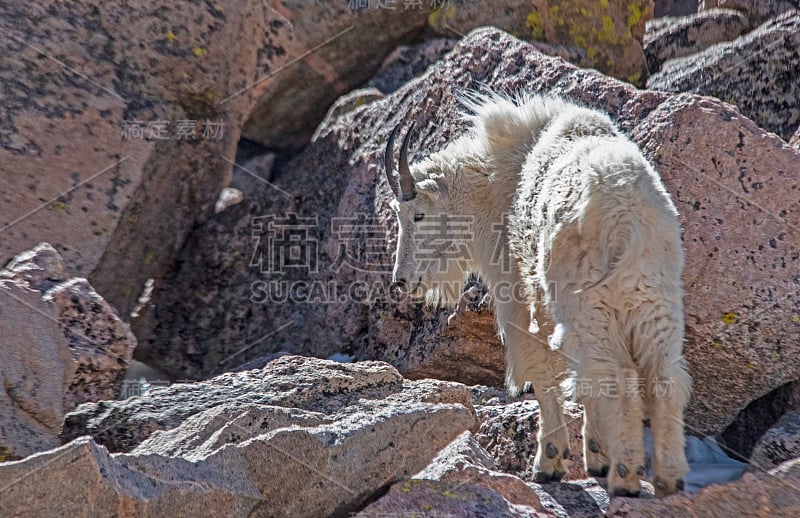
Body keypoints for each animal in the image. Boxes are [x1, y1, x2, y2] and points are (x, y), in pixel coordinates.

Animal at [384, 93, 692, 500]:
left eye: (418, 215)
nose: (401, 282)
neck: (501, 182)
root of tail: (626, 217)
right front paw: (596, 455)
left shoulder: (523, 297)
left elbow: (543, 374)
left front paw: (549, 463)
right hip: (654, 298)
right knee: (663, 377)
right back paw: (669, 479)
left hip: (588, 304)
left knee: (617, 376)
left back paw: (625, 478)